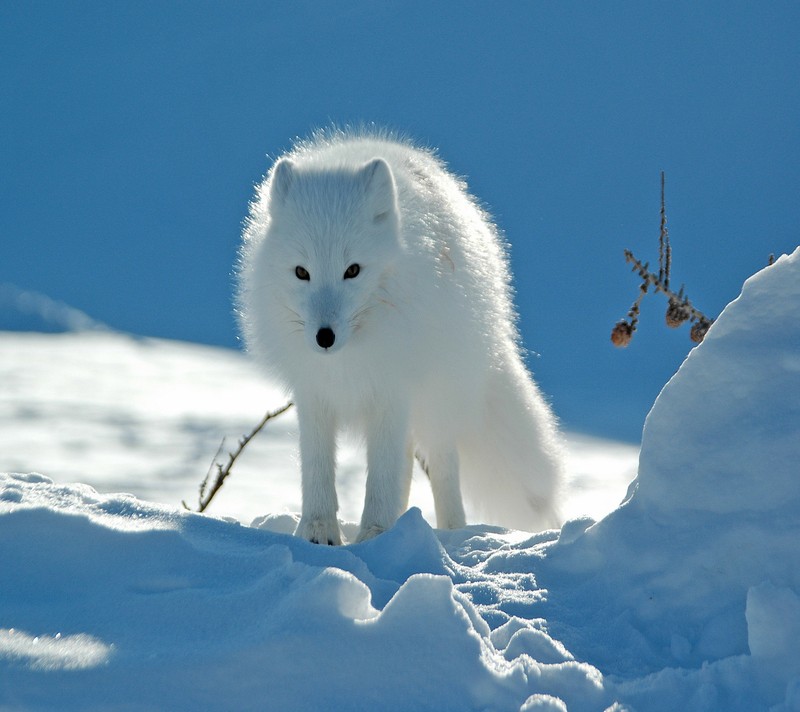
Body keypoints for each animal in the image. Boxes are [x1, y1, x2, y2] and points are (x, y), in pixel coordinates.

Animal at [236, 131, 564, 544]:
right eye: (301, 272)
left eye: (353, 270)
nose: (324, 337)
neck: (349, 358)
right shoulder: (314, 392)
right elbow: (317, 469)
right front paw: (318, 532)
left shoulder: (392, 388)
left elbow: (382, 476)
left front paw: (374, 535)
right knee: (406, 464)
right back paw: (403, 522)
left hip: (438, 396)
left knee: (440, 464)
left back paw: (450, 532)